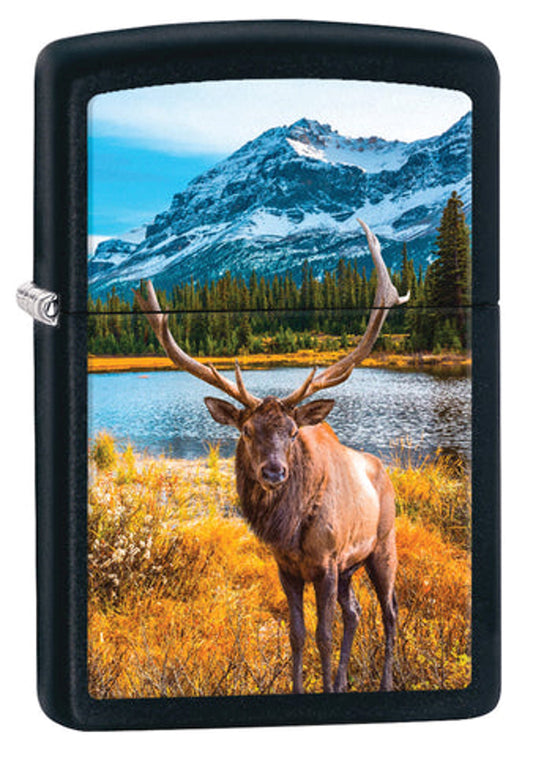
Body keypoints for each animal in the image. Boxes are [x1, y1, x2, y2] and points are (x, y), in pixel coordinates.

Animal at [134, 219, 410, 694]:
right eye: (246, 431)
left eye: (293, 431)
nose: (274, 471)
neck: (291, 529)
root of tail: (382, 471)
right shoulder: (288, 567)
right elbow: (297, 635)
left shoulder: (328, 562)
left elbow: (323, 635)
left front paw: (324, 687)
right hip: (352, 568)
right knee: (356, 613)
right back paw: (343, 680)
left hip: (382, 546)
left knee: (390, 614)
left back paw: (386, 682)